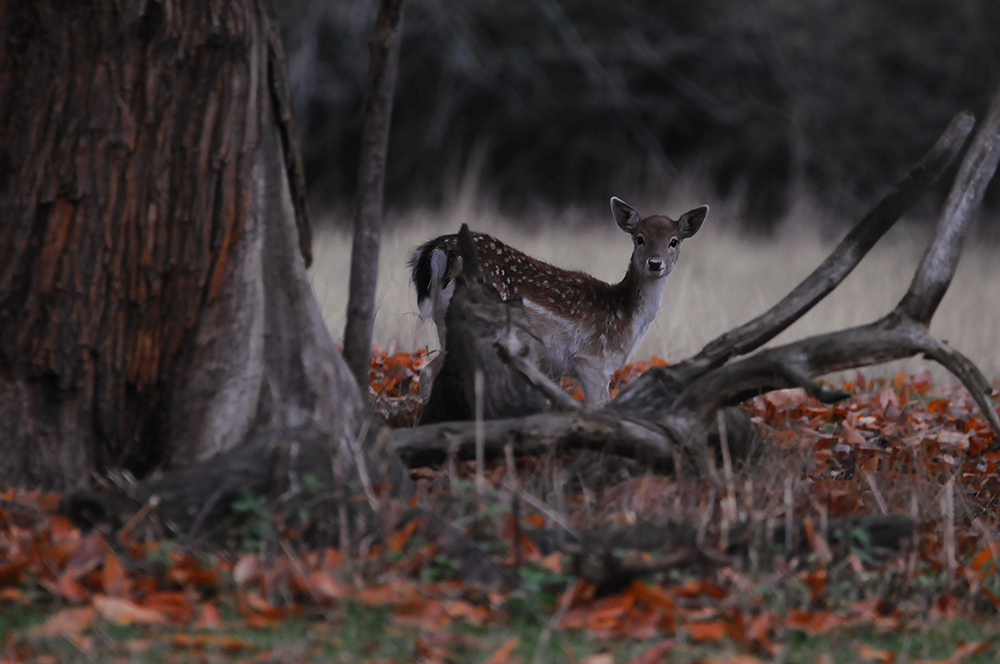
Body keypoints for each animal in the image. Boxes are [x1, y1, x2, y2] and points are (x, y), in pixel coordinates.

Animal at [409, 198, 708, 406]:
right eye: (639, 238)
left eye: (674, 241)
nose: (655, 264)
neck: (624, 318)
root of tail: (440, 249)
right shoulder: (591, 360)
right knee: (428, 373)